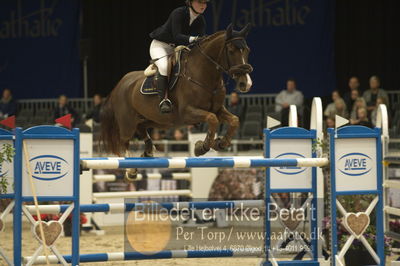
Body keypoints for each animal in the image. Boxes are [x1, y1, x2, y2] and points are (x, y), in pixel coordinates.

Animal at [101, 23, 253, 180]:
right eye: (231, 51)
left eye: (247, 50)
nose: (245, 84)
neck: (204, 74)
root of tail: (120, 84)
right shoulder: (187, 113)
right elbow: (212, 119)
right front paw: (201, 147)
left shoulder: (217, 109)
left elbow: (234, 120)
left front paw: (221, 143)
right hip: (127, 122)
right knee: (124, 141)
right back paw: (131, 170)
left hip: (153, 120)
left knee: (141, 128)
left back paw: (148, 151)